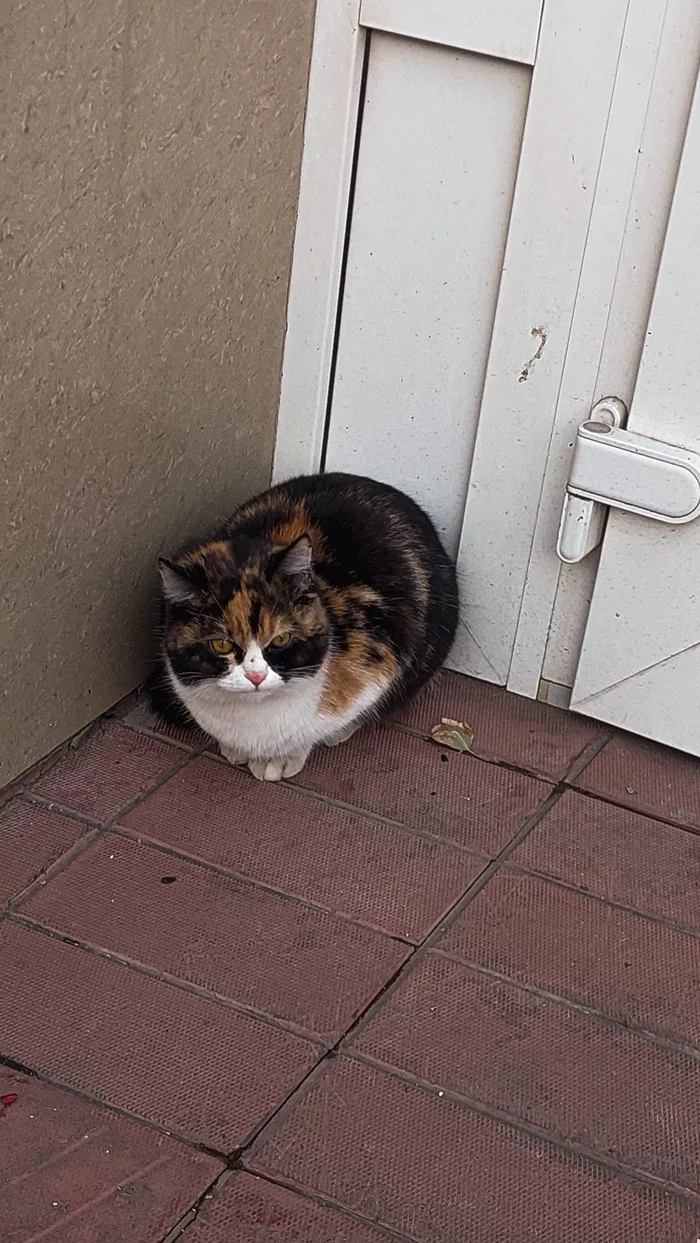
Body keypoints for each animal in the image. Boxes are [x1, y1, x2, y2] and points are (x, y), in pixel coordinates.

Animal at [149, 469, 460, 780]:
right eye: (221, 644)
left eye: (281, 639)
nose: (256, 677)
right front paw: (234, 750)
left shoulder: (379, 665)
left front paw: (280, 760)